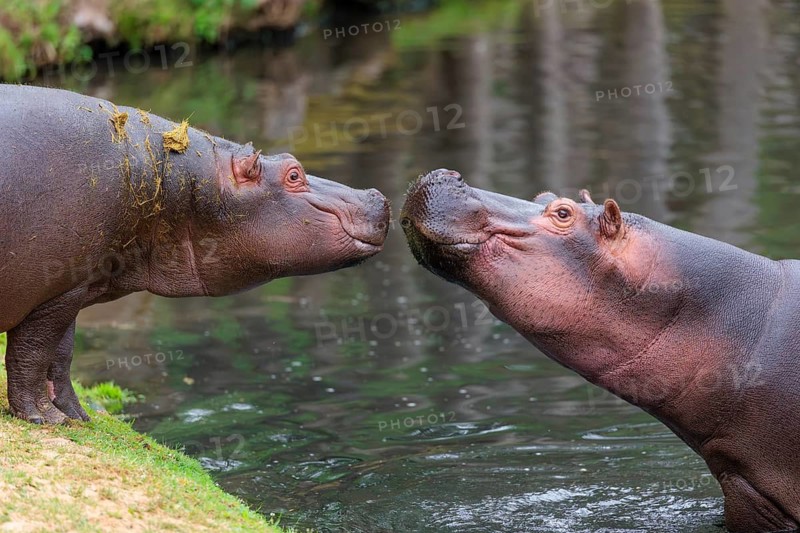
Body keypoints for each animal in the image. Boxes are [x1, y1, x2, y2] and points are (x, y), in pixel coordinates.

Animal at [0, 84, 389, 425]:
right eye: (294, 174)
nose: (377, 196)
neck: (175, 182)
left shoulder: (74, 285)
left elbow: (60, 356)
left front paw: (78, 417)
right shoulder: (56, 288)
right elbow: (32, 353)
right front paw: (44, 418)